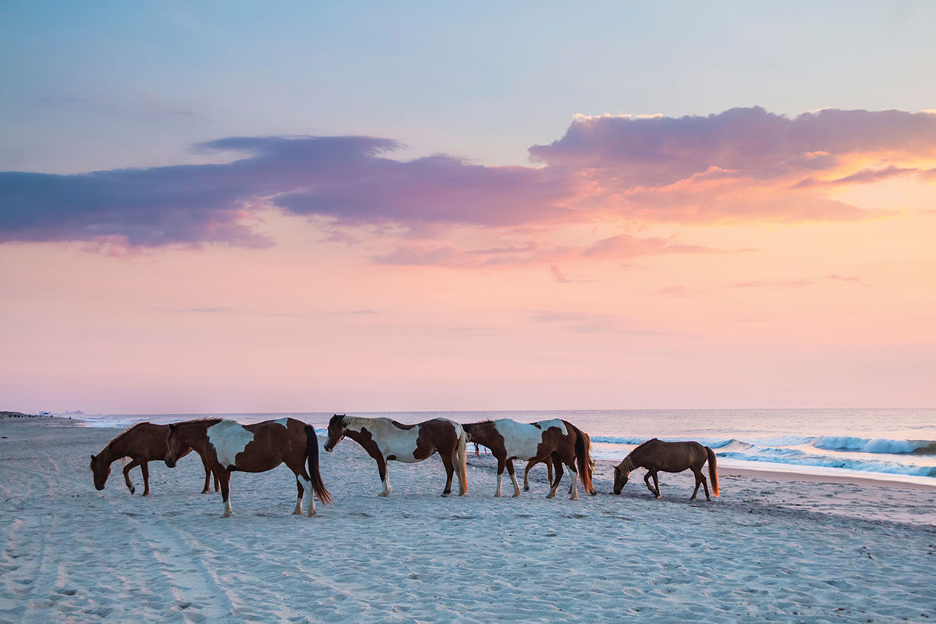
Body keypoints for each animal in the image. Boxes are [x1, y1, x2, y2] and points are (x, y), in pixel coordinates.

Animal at [88, 422, 216, 494]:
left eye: (96, 469)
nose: (98, 487)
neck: (132, 439)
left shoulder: (140, 459)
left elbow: (126, 470)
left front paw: (132, 488)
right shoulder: (143, 460)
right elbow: (145, 476)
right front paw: (146, 492)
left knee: (208, 470)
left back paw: (206, 489)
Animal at [165, 420, 332, 516]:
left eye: (169, 441)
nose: (168, 461)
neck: (210, 436)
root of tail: (303, 426)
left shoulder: (221, 470)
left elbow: (225, 491)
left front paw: (226, 513)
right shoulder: (227, 471)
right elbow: (227, 490)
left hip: (295, 465)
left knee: (307, 484)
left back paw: (310, 511)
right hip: (297, 466)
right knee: (301, 485)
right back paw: (297, 510)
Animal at [324, 414, 468, 498]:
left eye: (329, 428)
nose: (326, 447)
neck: (372, 431)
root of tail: (455, 424)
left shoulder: (380, 458)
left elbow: (382, 474)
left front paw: (384, 492)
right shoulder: (384, 459)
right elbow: (386, 474)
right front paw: (387, 491)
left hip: (445, 453)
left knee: (450, 470)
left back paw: (446, 492)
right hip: (452, 453)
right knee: (458, 470)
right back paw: (461, 492)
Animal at [464, 416, 596, 500]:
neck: (496, 433)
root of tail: (570, 426)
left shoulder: (502, 458)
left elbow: (499, 476)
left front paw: (497, 493)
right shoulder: (508, 459)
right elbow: (512, 475)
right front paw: (517, 492)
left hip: (566, 456)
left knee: (573, 473)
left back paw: (573, 495)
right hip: (556, 456)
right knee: (559, 472)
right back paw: (551, 493)